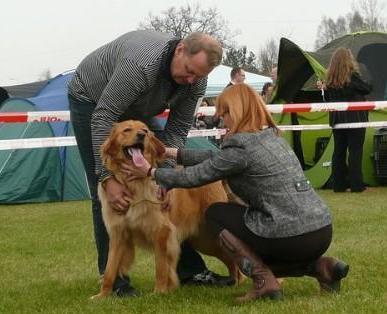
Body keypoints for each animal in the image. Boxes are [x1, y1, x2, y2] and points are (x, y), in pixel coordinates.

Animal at [91, 119, 242, 298]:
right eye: (127, 130)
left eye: (145, 131)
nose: (141, 135)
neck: (134, 185)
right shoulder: (118, 233)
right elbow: (110, 269)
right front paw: (103, 295)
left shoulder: (162, 232)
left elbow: (161, 267)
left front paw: (159, 292)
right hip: (204, 240)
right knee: (230, 259)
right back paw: (231, 282)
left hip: (212, 236)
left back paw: (238, 283)